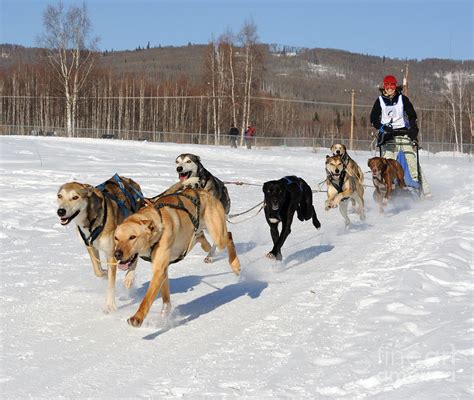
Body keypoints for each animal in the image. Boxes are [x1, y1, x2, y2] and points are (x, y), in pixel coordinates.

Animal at [56, 175, 143, 312]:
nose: (61, 211)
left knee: (135, 257)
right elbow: (97, 271)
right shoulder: (90, 245)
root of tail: (130, 181)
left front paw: (110, 305)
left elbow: (111, 284)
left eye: (75, 197)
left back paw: (129, 278)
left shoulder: (111, 253)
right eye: (60, 196)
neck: (92, 221)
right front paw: (104, 273)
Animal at [114, 188, 241, 328]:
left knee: (228, 236)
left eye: (132, 237)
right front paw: (164, 315)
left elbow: (147, 298)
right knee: (203, 239)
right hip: (200, 233)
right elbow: (165, 297)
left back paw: (235, 264)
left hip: (218, 235)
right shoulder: (162, 269)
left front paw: (138, 317)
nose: (117, 254)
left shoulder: (159, 270)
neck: (158, 227)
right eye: (116, 238)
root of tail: (203, 191)